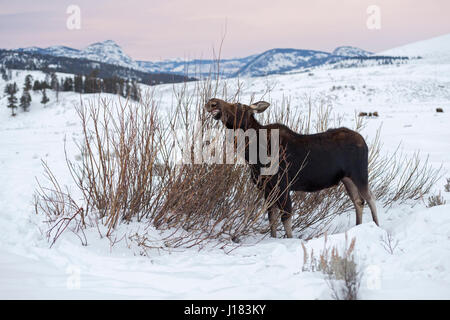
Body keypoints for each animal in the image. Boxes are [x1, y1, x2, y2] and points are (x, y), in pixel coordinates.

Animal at [206, 99, 378, 239]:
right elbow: (272, 218)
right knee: (358, 201)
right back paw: (358, 226)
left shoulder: (283, 186)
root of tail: (364, 142)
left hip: (359, 174)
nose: (212, 102)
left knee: (370, 198)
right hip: (347, 178)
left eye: (239, 105)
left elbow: (286, 217)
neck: (252, 153)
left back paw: (376, 226)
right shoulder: (267, 188)